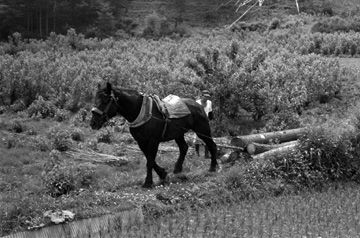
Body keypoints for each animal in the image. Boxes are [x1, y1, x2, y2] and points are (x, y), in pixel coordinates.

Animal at [90, 82, 218, 189]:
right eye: (95, 99)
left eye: (105, 101)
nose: (93, 123)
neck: (140, 111)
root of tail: (198, 106)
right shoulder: (141, 141)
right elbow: (149, 158)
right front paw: (162, 174)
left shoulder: (153, 140)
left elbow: (150, 161)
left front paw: (148, 182)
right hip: (178, 134)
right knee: (184, 148)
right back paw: (178, 169)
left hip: (203, 131)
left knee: (212, 145)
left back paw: (213, 167)